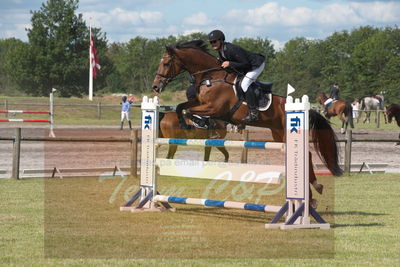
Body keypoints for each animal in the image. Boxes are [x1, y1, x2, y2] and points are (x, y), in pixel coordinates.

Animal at [152, 39, 342, 206]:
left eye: (166, 64)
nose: (155, 87)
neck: (212, 76)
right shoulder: (200, 103)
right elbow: (181, 107)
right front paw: (188, 123)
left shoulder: (213, 108)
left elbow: (188, 110)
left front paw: (191, 124)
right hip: (278, 134)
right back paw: (312, 193)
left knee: (307, 155)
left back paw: (313, 190)